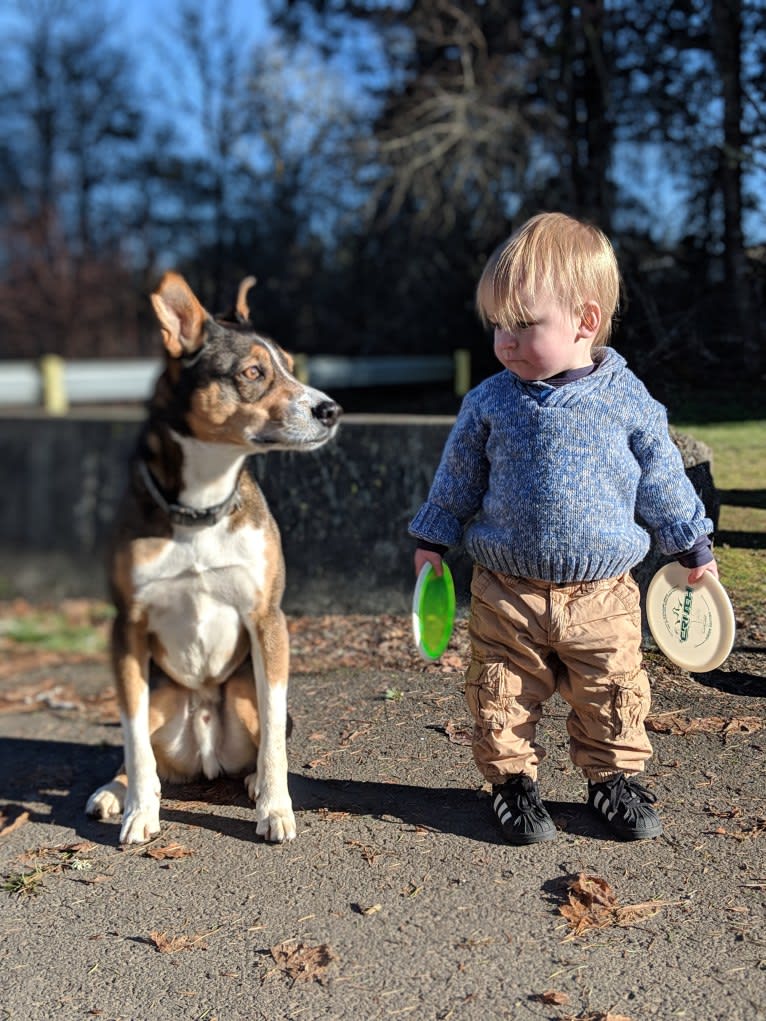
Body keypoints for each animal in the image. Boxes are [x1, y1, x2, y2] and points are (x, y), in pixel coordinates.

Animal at [84, 271, 345, 845]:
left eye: (290, 365)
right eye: (253, 372)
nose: (332, 411)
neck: (200, 507)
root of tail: (204, 753)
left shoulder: (268, 621)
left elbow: (274, 740)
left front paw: (274, 807)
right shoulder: (126, 629)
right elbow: (134, 744)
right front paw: (140, 809)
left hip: (243, 689)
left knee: (265, 735)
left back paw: (250, 782)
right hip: (161, 694)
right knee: (139, 750)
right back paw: (114, 792)